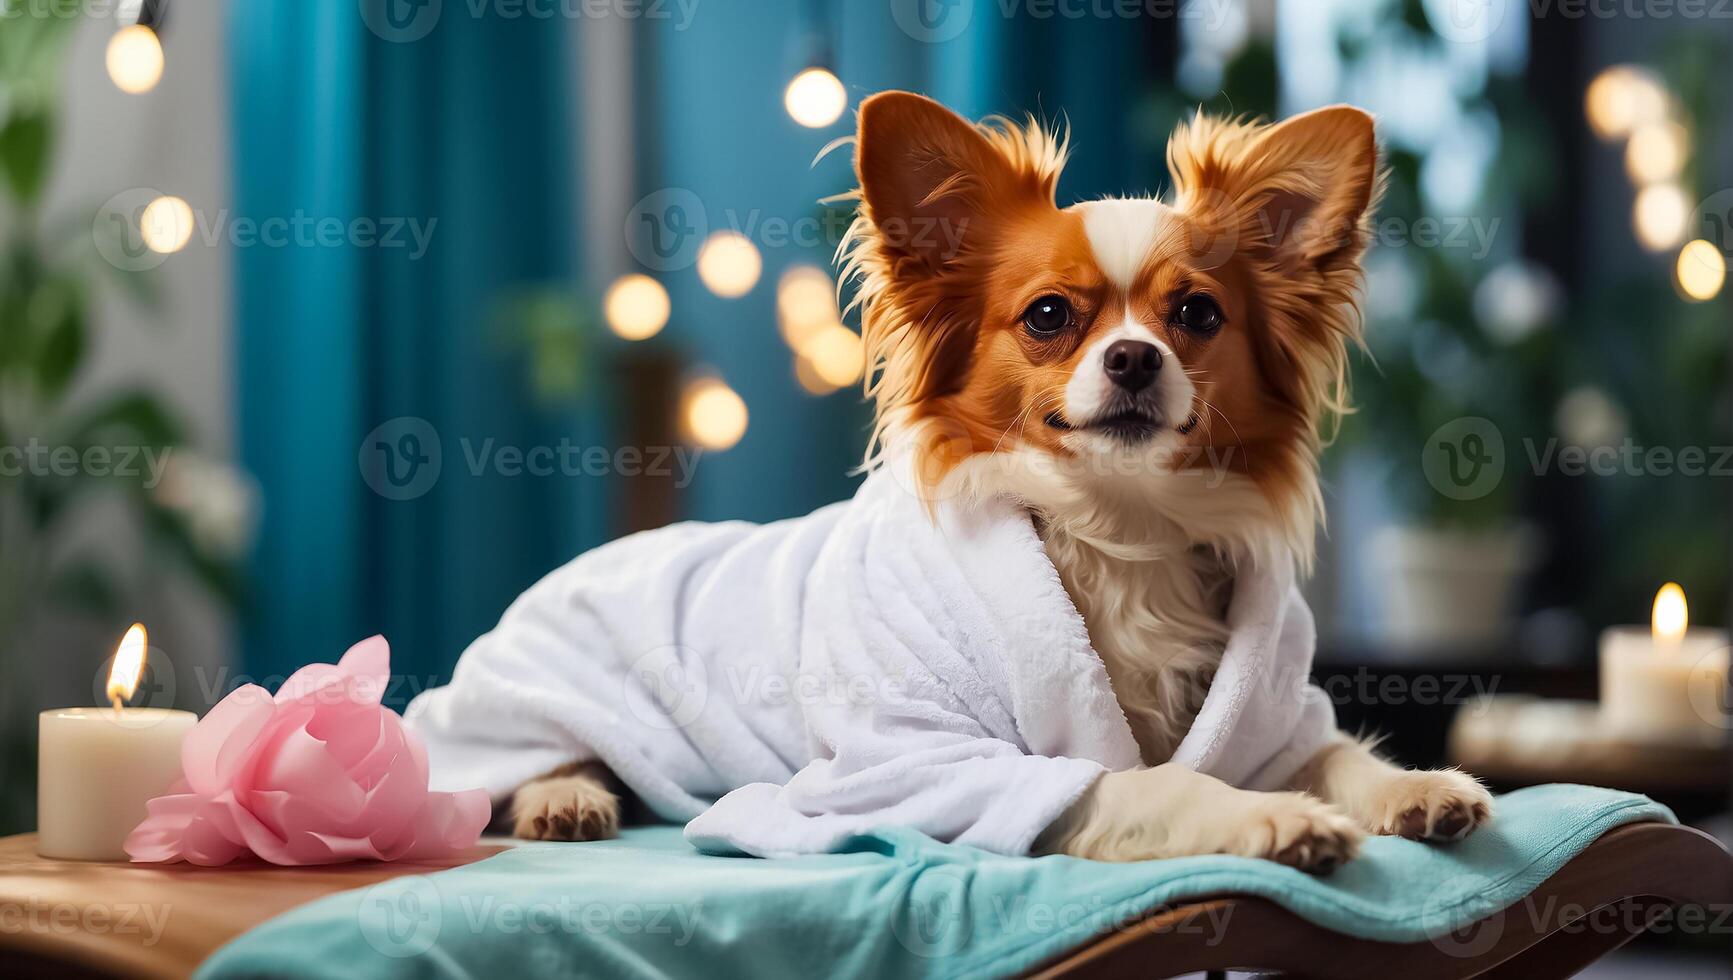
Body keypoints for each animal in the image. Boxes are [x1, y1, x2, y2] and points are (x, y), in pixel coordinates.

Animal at [502, 93, 1490, 870]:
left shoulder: (1269, 721)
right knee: (538, 759)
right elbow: (1153, 786)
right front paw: (1274, 817)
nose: (1135, 357)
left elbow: (1333, 754)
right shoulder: (928, 767)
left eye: (1197, 314)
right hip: (543, 701)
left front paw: (1411, 785)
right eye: (1048, 315)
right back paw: (563, 798)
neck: (1119, 525)